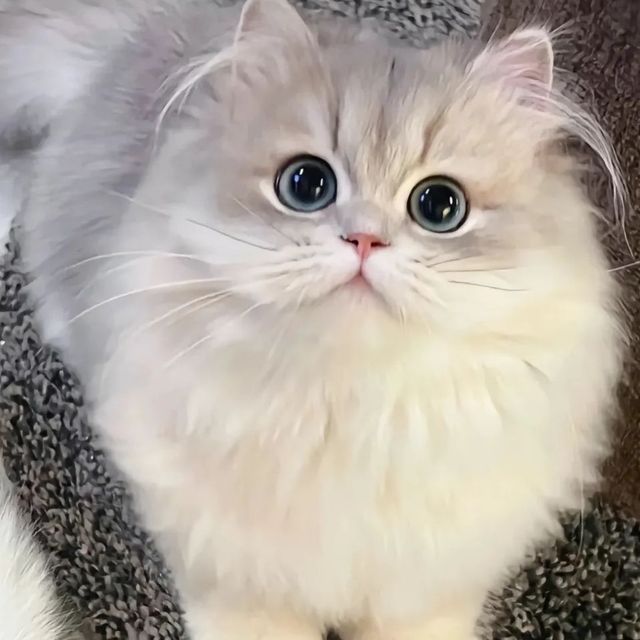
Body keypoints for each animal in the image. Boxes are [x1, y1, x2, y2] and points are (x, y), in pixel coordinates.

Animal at [0, 0, 625, 638]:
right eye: (306, 184)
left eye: (440, 205)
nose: (365, 240)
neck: (353, 413)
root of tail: (142, 31)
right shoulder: (239, 582)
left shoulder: (427, 593)